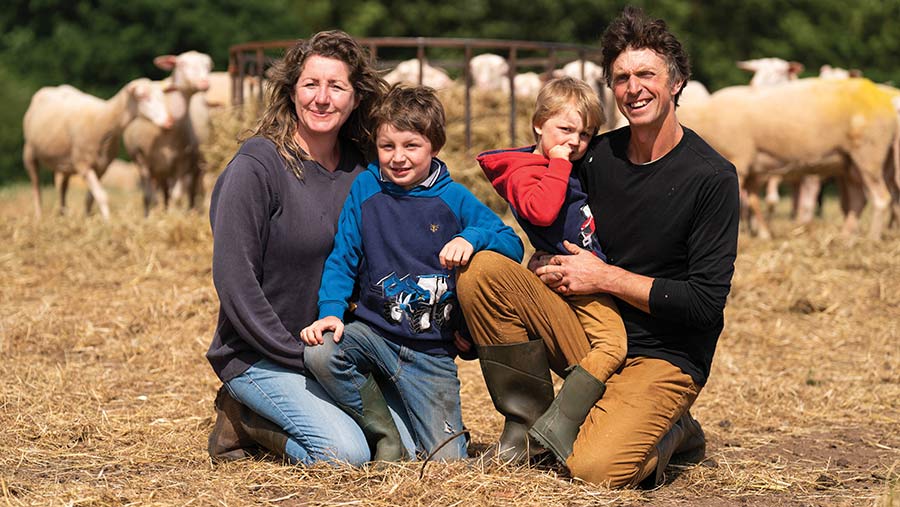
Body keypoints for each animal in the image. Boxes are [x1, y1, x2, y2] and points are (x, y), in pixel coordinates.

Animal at [22, 78, 173, 221]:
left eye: (162, 96)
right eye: (143, 96)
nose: (169, 121)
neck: (103, 121)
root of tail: (52, 88)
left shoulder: (101, 168)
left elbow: (91, 198)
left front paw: (88, 219)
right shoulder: (83, 165)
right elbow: (102, 196)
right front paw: (107, 221)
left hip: (64, 163)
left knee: (62, 189)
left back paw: (63, 214)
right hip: (29, 152)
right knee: (36, 188)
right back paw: (39, 216)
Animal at [122, 51, 212, 216]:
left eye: (208, 65)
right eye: (181, 64)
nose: (204, 83)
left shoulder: (182, 162)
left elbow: (177, 196)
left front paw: (173, 216)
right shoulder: (143, 161)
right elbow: (149, 197)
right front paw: (150, 216)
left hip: (197, 163)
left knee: (192, 190)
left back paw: (191, 211)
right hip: (160, 170)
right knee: (162, 193)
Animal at [684, 77, 900, 240]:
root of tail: (884, 98)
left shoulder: (739, 159)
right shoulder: (752, 170)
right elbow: (753, 201)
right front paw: (764, 233)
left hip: (869, 154)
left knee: (881, 198)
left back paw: (871, 238)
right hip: (850, 163)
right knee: (858, 200)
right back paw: (845, 238)